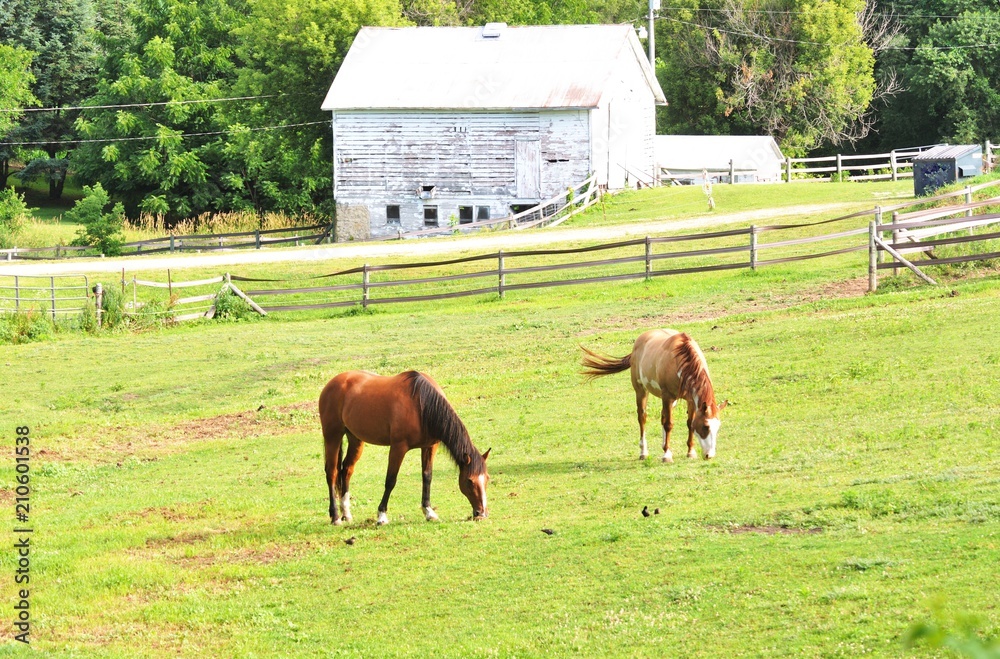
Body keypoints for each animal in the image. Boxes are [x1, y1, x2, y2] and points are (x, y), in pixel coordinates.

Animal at [318, 370, 490, 526]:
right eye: (469, 481)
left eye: (487, 478)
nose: (482, 513)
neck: (422, 405)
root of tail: (333, 383)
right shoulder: (398, 447)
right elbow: (390, 480)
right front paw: (381, 516)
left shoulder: (430, 447)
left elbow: (427, 476)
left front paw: (429, 512)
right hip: (333, 436)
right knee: (332, 473)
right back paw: (335, 517)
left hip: (355, 439)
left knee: (346, 470)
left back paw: (346, 513)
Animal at [581, 329, 727, 462]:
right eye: (706, 426)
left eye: (717, 427)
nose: (709, 455)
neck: (680, 359)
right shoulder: (667, 396)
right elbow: (668, 424)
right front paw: (667, 455)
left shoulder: (691, 400)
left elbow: (689, 423)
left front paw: (690, 452)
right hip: (641, 391)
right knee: (642, 418)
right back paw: (644, 452)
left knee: (662, 417)